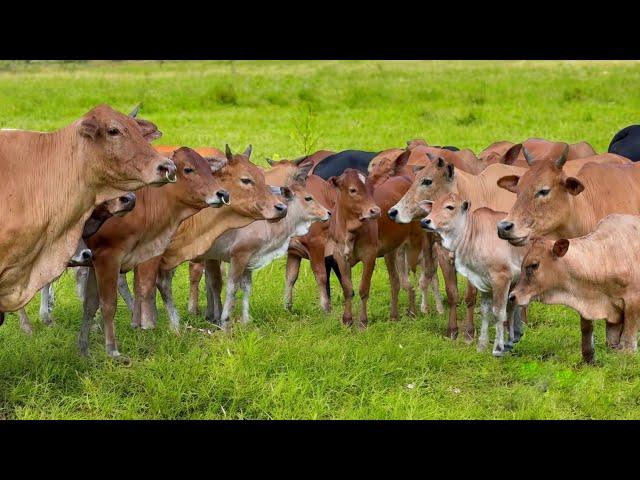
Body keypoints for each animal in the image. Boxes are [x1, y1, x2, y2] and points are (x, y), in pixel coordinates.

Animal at [79, 146, 230, 360]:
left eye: (209, 169)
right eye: (188, 169)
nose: (222, 193)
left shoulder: (96, 263)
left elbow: (91, 305)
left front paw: (84, 351)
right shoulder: (107, 258)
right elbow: (109, 304)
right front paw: (113, 350)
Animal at [420, 192, 524, 356]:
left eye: (450, 207)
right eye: (433, 206)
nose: (425, 221)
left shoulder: (502, 276)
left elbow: (495, 309)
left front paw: (493, 345)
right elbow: (481, 307)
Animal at [512, 216, 640, 362]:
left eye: (534, 265)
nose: (512, 296)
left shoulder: (633, 303)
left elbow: (627, 344)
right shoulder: (611, 314)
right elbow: (606, 340)